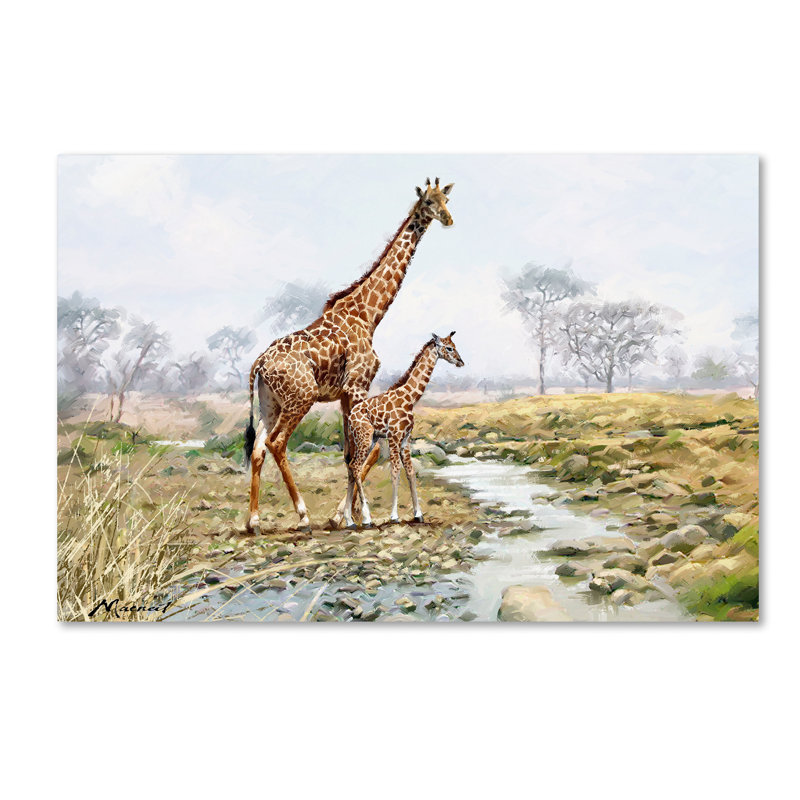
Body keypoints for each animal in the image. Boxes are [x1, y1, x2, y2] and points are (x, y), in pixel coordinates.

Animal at [343, 332, 464, 528]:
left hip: (369, 439)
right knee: (355, 466)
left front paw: (418, 514)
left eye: (454, 346)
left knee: (352, 468)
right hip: (365, 437)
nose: (461, 361)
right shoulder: (394, 436)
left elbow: (410, 472)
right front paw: (394, 516)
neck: (410, 398)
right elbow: (395, 472)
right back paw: (367, 518)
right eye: (449, 348)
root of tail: (350, 417)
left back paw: (348, 520)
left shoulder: (406, 438)